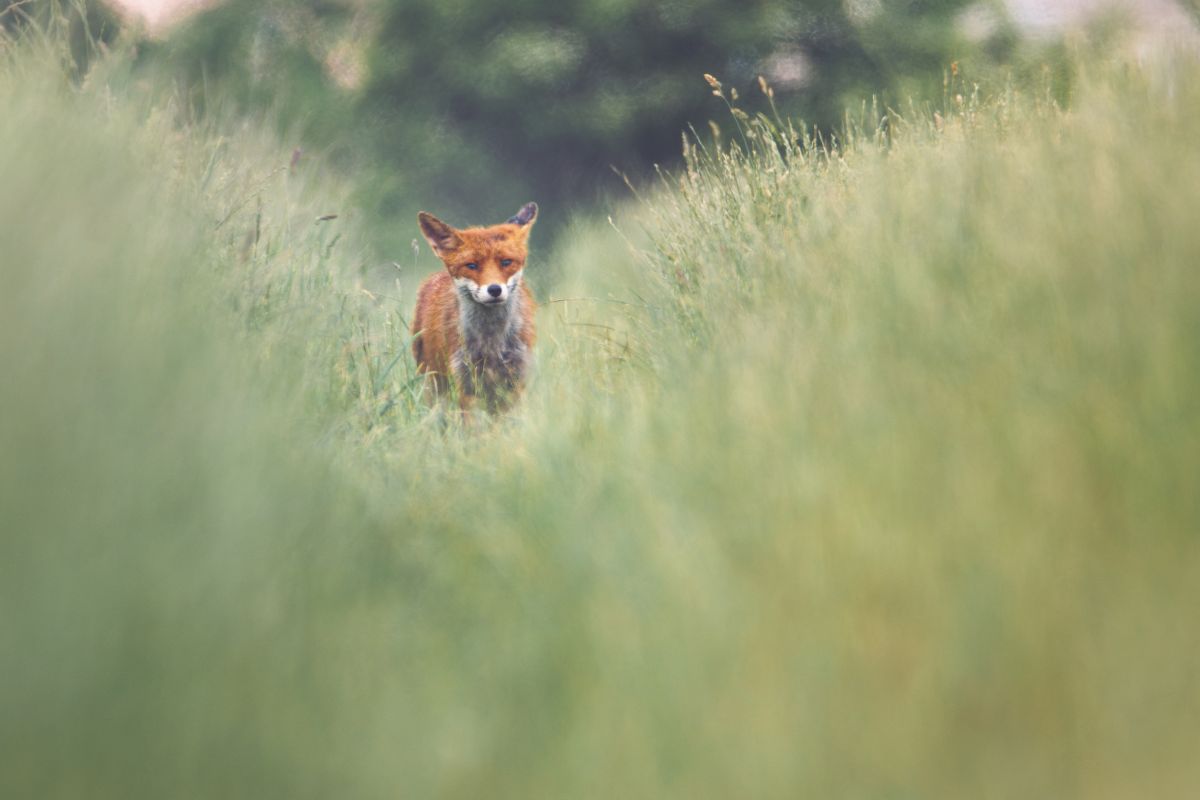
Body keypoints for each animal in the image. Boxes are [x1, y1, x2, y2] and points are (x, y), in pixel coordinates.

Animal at [411, 202, 539, 415]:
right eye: (471, 265)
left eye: (506, 262)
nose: (494, 289)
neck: (491, 343)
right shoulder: (465, 385)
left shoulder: (515, 382)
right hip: (435, 384)